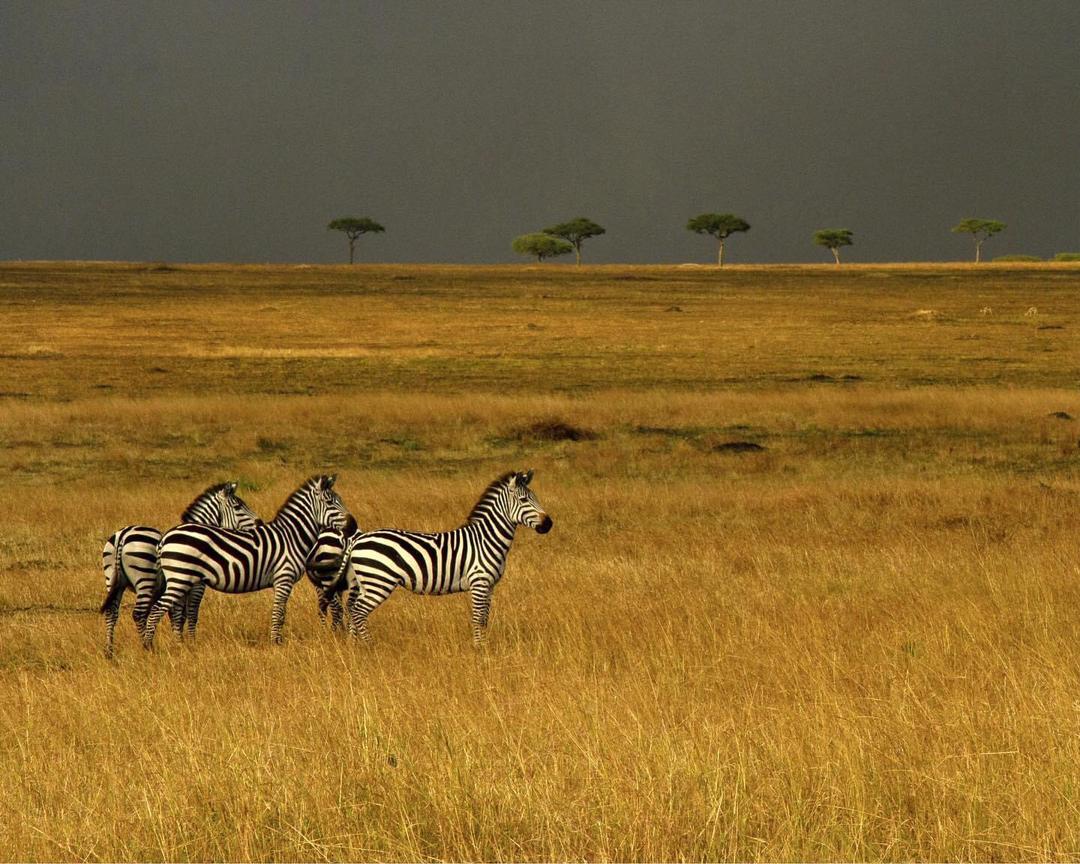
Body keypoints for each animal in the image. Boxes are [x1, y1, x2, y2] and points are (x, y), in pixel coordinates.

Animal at [100, 481, 261, 656]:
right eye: (238, 506)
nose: (260, 523)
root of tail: (123, 535)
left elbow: (178, 615)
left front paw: (180, 643)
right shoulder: (196, 586)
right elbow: (190, 614)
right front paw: (189, 643)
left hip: (113, 581)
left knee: (111, 613)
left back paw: (109, 651)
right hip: (145, 580)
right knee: (139, 614)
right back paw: (147, 648)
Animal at [140, 473, 354, 648]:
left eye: (340, 500)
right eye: (330, 502)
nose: (353, 525)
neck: (292, 536)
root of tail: (165, 538)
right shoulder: (283, 578)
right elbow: (279, 613)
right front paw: (276, 643)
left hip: (181, 580)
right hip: (181, 579)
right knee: (159, 609)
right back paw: (149, 647)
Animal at [326, 468, 548, 643]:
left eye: (535, 497)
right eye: (524, 500)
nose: (549, 524)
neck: (486, 539)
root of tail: (356, 540)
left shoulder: (489, 585)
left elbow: (484, 618)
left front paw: (483, 646)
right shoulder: (479, 582)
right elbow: (478, 618)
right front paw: (479, 649)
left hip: (365, 581)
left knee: (352, 608)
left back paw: (355, 645)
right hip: (379, 581)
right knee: (358, 611)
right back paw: (370, 646)